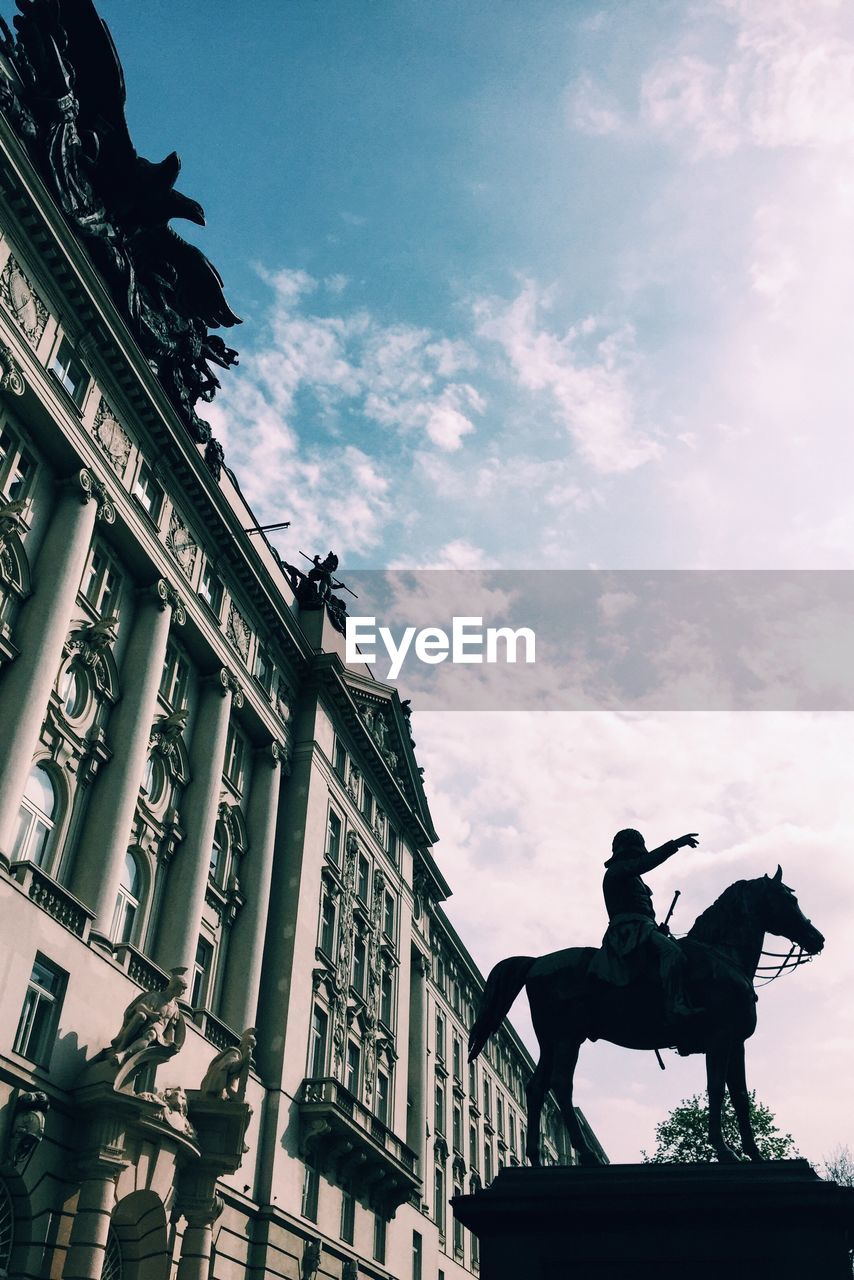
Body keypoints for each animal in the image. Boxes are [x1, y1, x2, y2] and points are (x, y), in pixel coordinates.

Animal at [471, 865, 824, 1167]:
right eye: (788, 899)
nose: (817, 939)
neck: (722, 957)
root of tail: (536, 962)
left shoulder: (736, 1044)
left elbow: (739, 1097)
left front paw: (754, 1154)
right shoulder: (720, 1041)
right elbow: (716, 1090)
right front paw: (726, 1151)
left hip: (552, 1042)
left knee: (536, 1088)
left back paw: (534, 1157)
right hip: (568, 1039)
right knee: (561, 1085)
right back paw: (584, 1154)